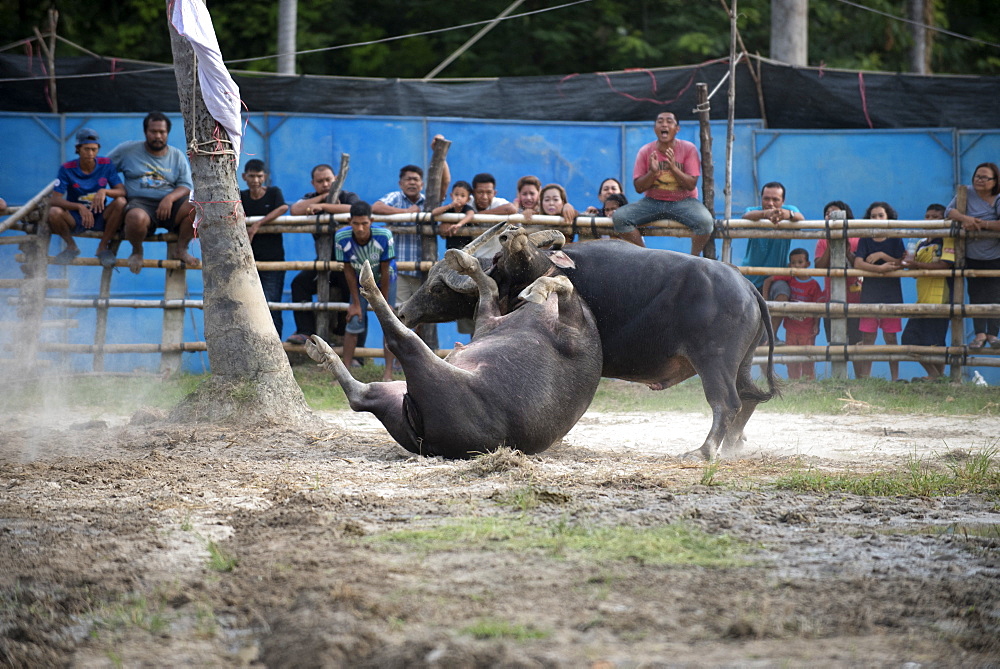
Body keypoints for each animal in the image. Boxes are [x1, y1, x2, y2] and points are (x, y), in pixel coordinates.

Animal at [304, 231, 600, 460]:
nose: (512, 235)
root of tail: (428, 442)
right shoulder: (487, 321)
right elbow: (489, 288)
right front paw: (467, 263)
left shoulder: (570, 327)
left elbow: (562, 283)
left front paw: (539, 287)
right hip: (395, 398)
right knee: (361, 396)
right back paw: (322, 351)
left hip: (430, 371)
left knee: (401, 342)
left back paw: (368, 285)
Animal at [394, 224, 776, 460]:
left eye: (437, 287)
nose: (404, 312)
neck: (544, 270)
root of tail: (746, 286)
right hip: (741, 363)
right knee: (749, 397)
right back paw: (733, 444)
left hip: (714, 361)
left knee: (727, 402)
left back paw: (705, 451)